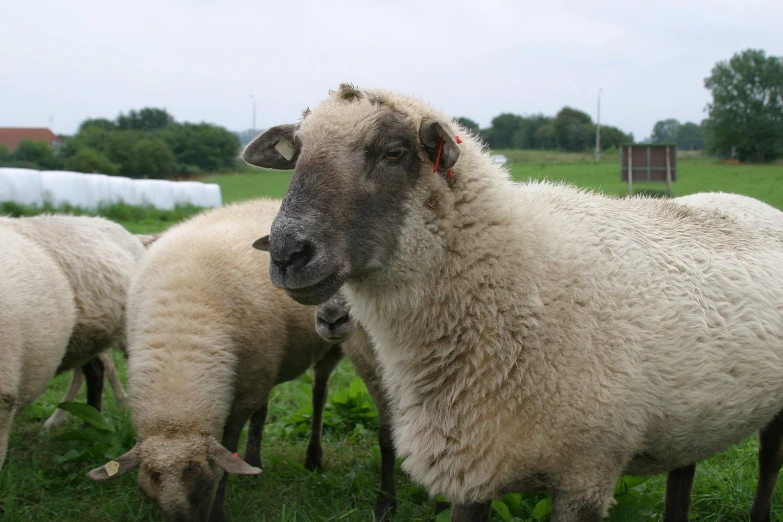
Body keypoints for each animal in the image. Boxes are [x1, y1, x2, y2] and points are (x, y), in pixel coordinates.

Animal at [86, 199, 376, 520]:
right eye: (149, 493)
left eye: (203, 487)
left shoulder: (242, 398)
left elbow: (227, 447)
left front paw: (219, 510)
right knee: (264, 411)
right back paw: (254, 461)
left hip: (327, 347)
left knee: (319, 393)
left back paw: (313, 457)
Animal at [247, 85, 783, 520]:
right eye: (297, 155)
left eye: (394, 152)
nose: (288, 253)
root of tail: (747, 201)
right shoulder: (471, 465)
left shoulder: (586, 475)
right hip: (691, 415)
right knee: (683, 472)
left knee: (769, 460)